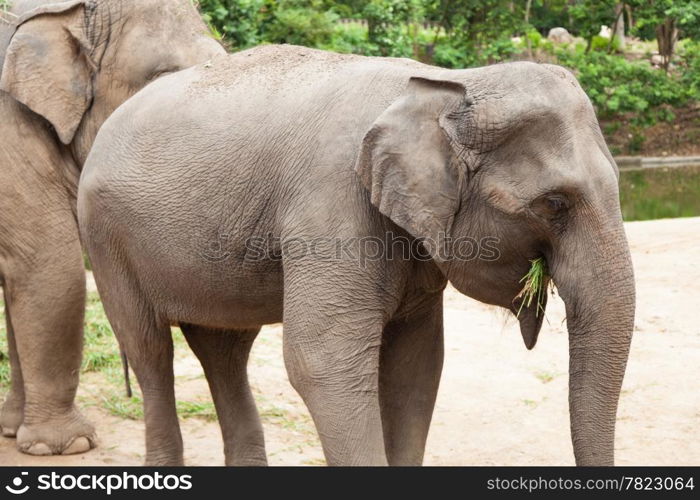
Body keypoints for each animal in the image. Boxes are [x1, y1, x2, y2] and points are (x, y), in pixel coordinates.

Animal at [79, 43, 636, 464]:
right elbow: (322, 361)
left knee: (224, 348)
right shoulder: (331, 206)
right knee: (149, 348)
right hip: (105, 238)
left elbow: (417, 363)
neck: (444, 86)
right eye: (553, 203)